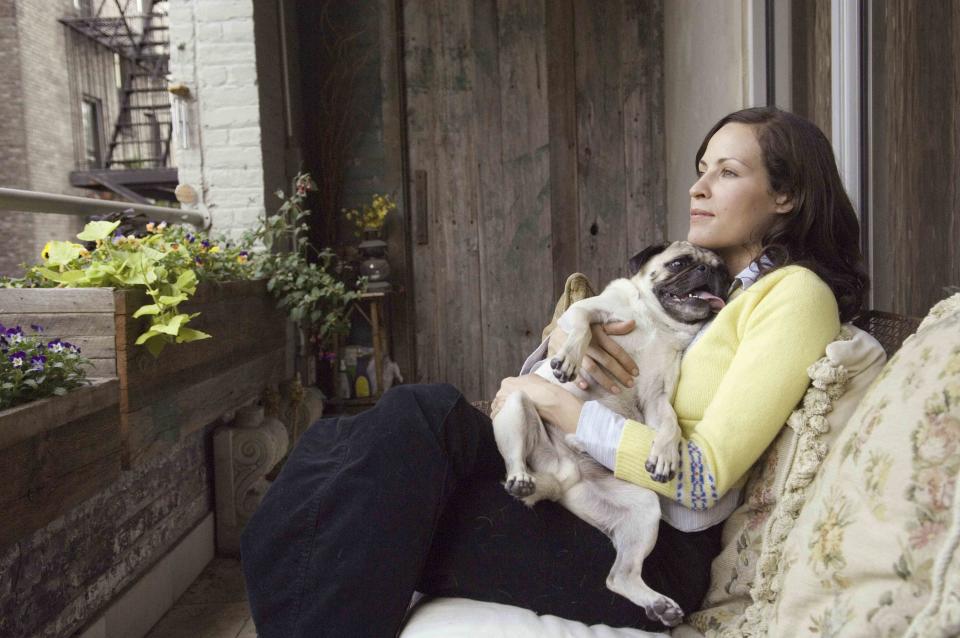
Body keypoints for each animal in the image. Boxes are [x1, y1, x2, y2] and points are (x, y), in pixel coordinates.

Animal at [496, 242, 728, 628]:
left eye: (722, 270)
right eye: (679, 263)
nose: (710, 273)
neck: (658, 324)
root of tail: (563, 476)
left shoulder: (657, 398)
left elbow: (670, 424)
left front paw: (665, 455)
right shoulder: (588, 310)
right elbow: (582, 327)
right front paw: (569, 359)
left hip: (643, 510)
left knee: (620, 577)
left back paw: (659, 604)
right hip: (516, 404)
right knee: (515, 459)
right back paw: (520, 479)